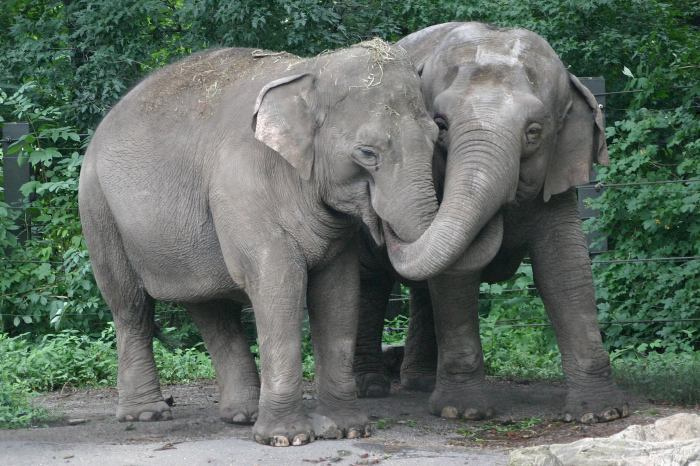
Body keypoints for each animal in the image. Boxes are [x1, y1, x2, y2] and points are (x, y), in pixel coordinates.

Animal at [78, 40, 443, 446]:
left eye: (436, 136)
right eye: (367, 153)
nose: (381, 226)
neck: (312, 70)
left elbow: (339, 290)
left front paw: (349, 429)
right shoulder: (242, 186)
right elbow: (278, 279)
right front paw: (287, 438)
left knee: (211, 309)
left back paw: (241, 415)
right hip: (98, 210)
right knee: (130, 306)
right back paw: (147, 414)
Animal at [354, 22, 629, 424]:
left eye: (534, 132)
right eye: (440, 125)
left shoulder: (555, 181)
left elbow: (565, 270)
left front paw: (600, 413)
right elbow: (455, 277)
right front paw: (463, 412)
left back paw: (420, 383)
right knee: (370, 281)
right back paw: (370, 387)